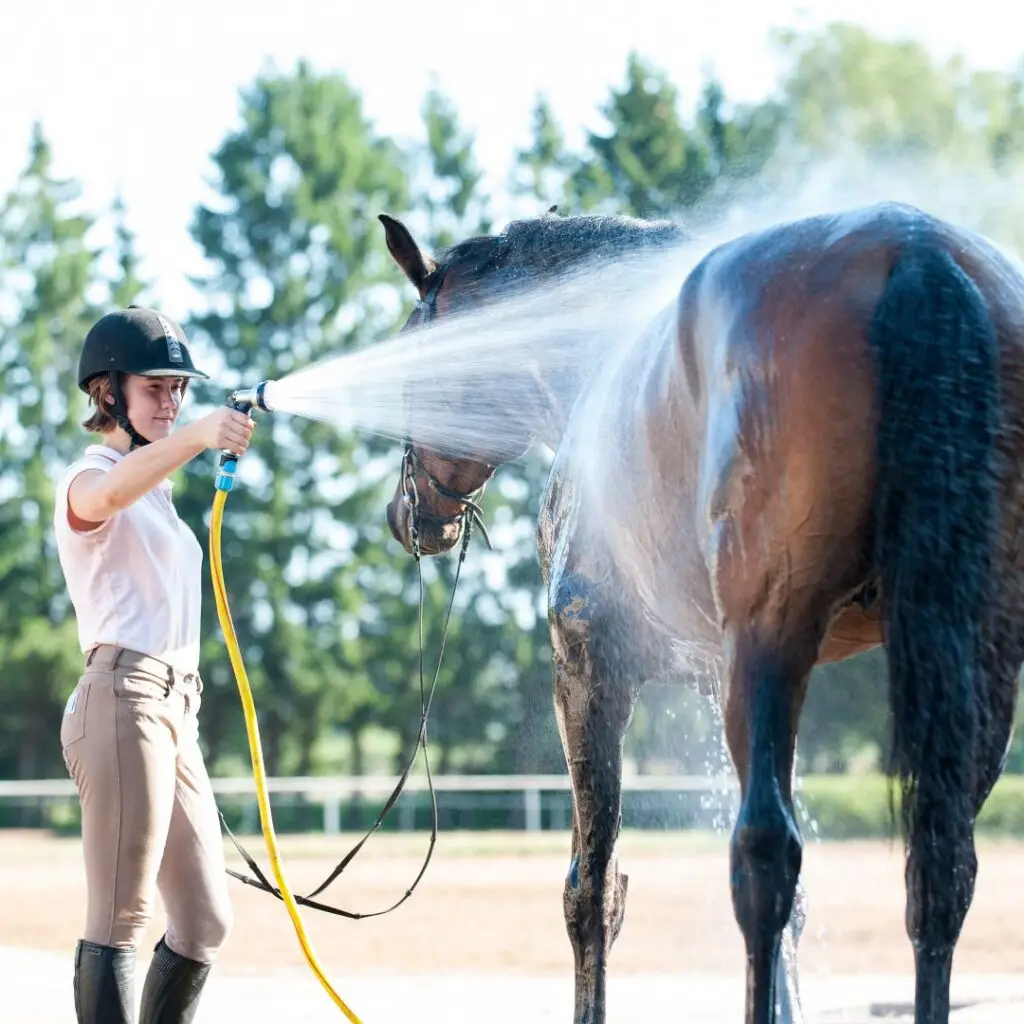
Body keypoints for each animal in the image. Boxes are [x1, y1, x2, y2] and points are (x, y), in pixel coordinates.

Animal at [377, 201, 1024, 1024]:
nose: (407, 516)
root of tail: (917, 250)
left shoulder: (589, 668)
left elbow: (593, 890)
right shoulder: (721, 678)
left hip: (774, 636)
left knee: (764, 856)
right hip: (971, 660)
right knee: (940, 868)